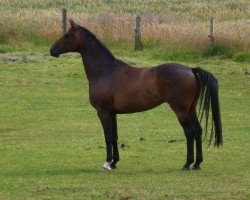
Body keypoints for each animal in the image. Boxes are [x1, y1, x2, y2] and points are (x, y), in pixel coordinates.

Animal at [49, 19, 222, 171]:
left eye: (67, 35)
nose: (52, 50)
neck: (105, 71)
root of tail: (191, 70)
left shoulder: (102, 112)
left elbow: (107, 136)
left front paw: (107, 163)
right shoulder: (112, 113)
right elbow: (114, 136)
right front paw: (114, 162)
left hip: (180, 110)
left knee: (190, 132)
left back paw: (187, 164)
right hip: (191, 109)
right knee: (198, 130)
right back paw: (197, 164)